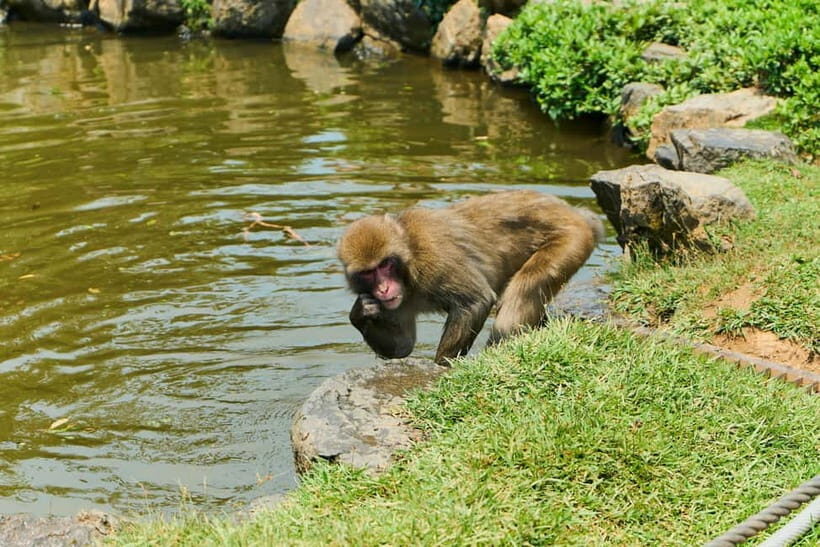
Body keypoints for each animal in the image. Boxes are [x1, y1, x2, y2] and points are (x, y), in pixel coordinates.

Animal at [338, 190, 604, 365]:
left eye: (386, 264)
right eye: (368, 273)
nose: (383, 289)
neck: (410, 260)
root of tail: (574, 213)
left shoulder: (436, 261)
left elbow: (476, 301)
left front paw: (443, 366)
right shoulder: (395, 304)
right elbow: (403, 346)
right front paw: (360, 312)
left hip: (571, 240)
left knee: (518, 297)